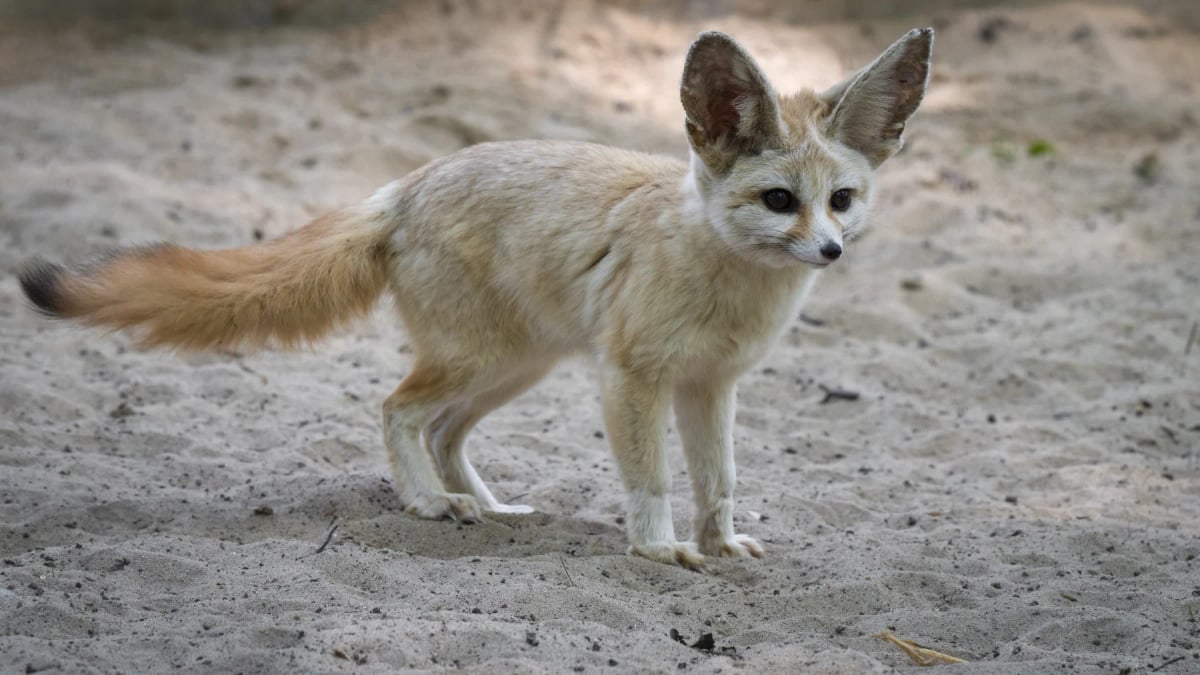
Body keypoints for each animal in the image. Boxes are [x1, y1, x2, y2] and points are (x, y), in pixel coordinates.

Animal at [19, 29, 932, 569]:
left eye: (841, 200)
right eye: (780, 201)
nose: (831, 250)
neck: (726, 273)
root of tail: (407, 183)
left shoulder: (711, 385)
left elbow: (721, 479)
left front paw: (722, 541)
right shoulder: (634, 380)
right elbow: (653, 478)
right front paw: (656, 547)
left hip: (516, 367)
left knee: (444, 430)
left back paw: (487, 505)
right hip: (480, 359)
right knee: (397, 410)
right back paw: (428, 501)